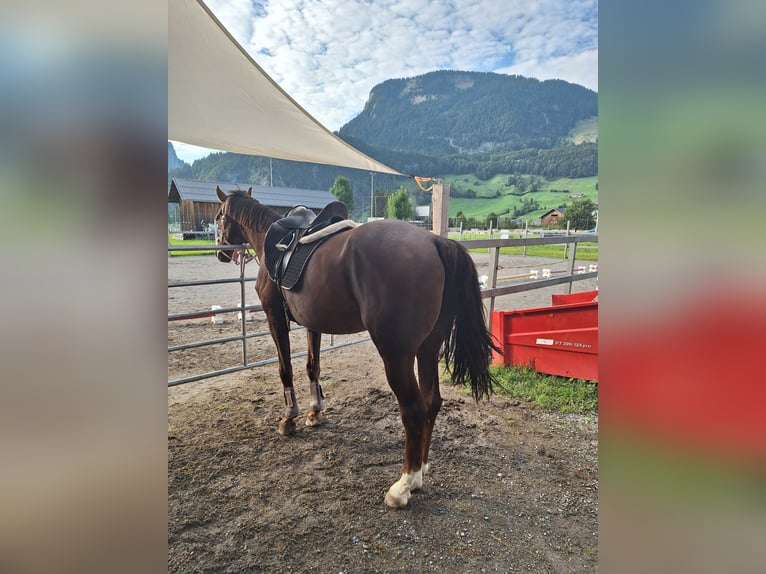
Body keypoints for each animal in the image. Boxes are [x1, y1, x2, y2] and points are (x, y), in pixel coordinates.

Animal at [213, 186, 500, 508]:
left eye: (219, 215)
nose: (221, 251)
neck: (272, 239)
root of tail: (435, 241)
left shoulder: (275, 318)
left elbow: (285, 370)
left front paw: (289, 418)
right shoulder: (313, 323)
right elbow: (312, 367)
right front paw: (315, 413)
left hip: (396, 355)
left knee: (414, 410)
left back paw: (404, 485)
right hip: (428, 347)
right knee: (432, 401)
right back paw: (421, 471)